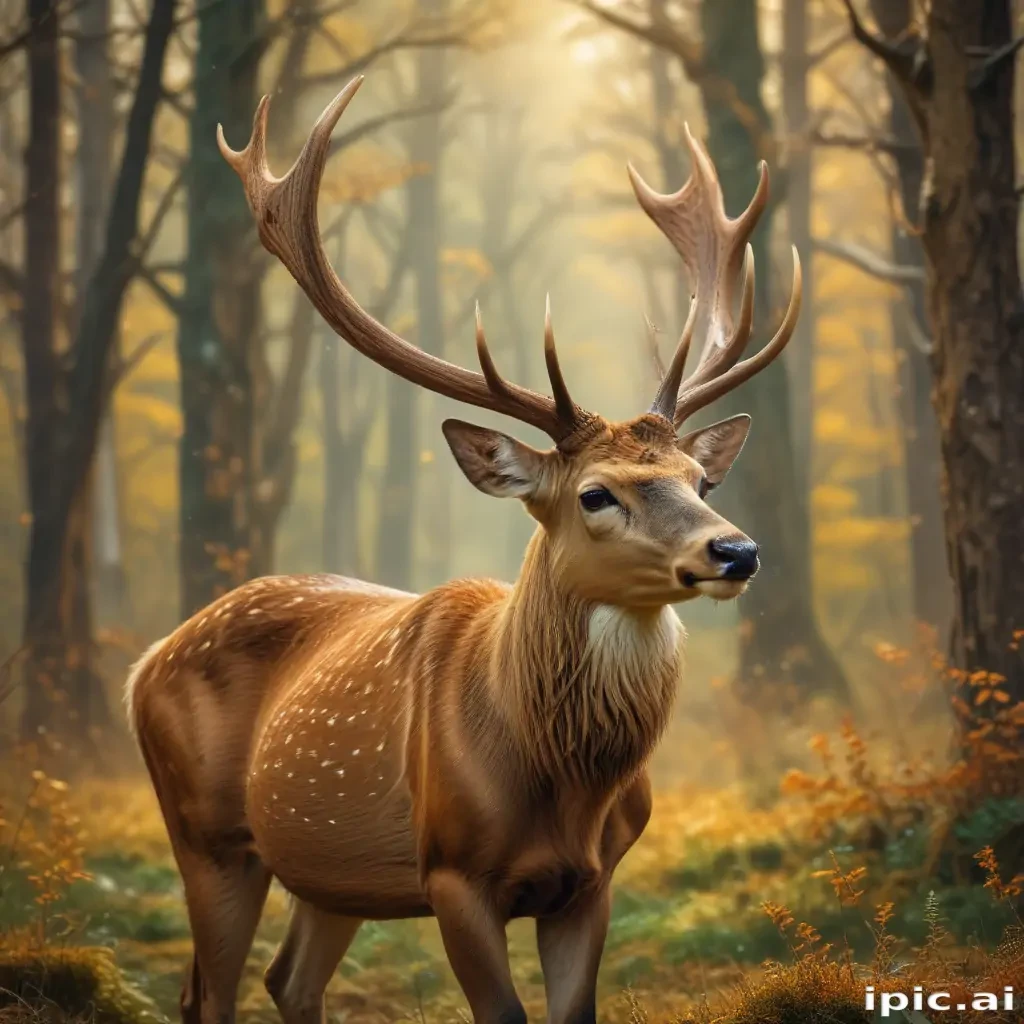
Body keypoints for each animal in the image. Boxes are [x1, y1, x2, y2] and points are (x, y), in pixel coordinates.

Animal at [127, 75, 800, 1024]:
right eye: (596, 493)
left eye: (699, 480)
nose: (735, 551)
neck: (562, 786)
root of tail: (144, 662)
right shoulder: (452, 871)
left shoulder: (593, 883)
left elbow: (573, 1010)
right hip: (206, 832)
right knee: (207, 995)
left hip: (332, 869)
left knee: (287, 978)